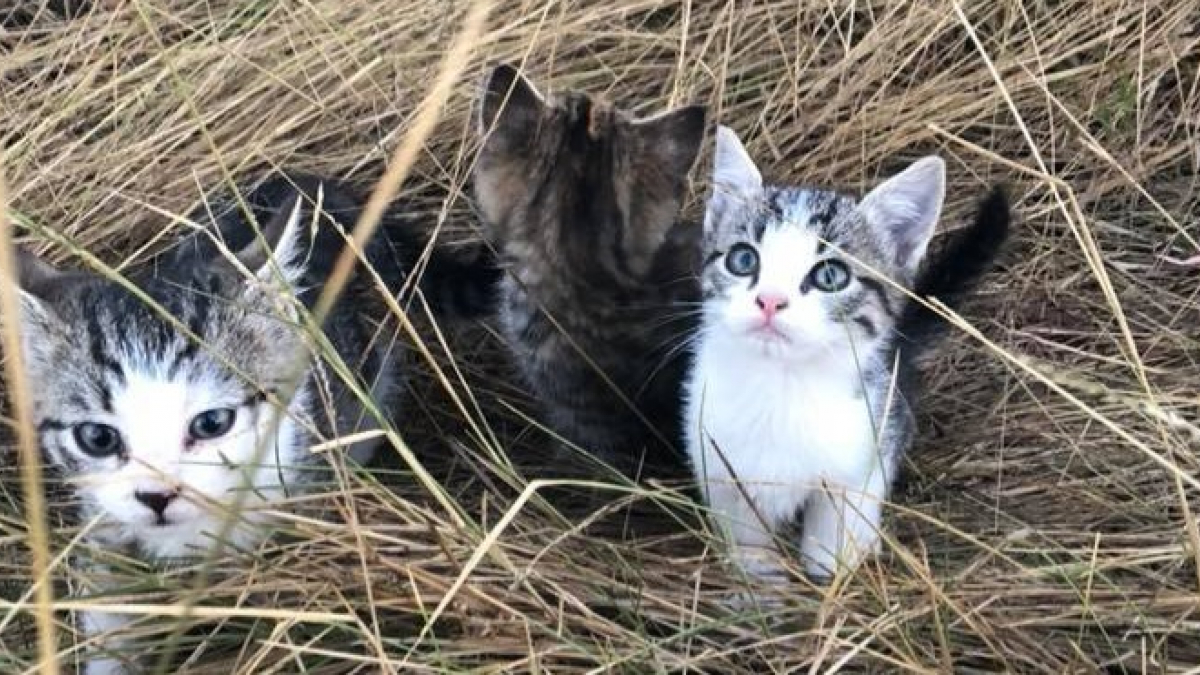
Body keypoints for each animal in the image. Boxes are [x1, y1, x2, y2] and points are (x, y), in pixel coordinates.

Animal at [681, 128, 1008, 581]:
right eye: (742, 259)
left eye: (831, 276)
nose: (770, 300)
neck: (782, 387)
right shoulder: (717, 461)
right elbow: (746, 534)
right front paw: (756, 574)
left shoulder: (869, 447)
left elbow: (836, 527)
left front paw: (831, 570)